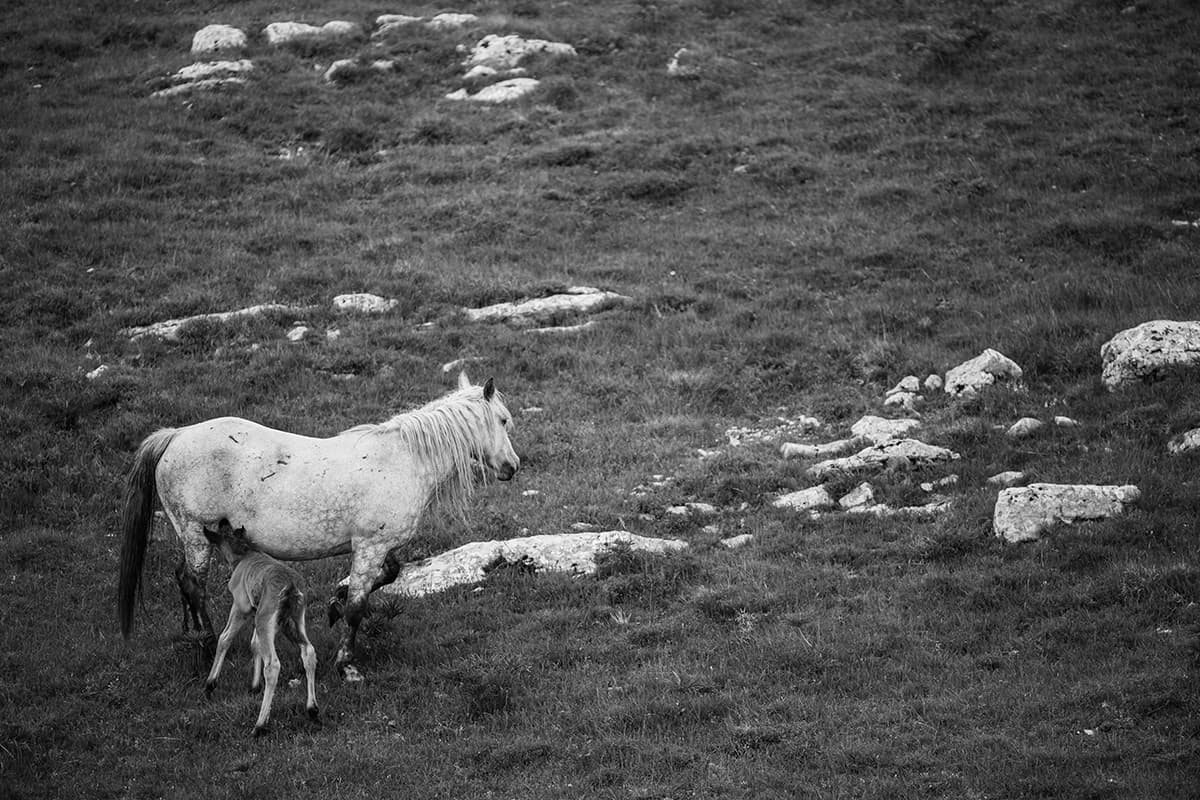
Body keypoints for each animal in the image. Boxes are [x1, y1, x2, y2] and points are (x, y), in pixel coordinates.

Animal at [117, 373, 519, 679]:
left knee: (182, 579)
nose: (512, 467)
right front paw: (346, 664)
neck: (402, 460)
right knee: (193, 584)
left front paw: (334, 603)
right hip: (196, 532)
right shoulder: (371, 546)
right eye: (502, 420)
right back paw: (208, 642)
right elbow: (359, 606)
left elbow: (386, 575)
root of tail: (175, 435)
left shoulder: (378, 547)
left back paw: (195, 636)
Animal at [202, 519, 318, 736]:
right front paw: (254, 686)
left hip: (266, 619)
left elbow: (225, 638)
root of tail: (291, 587)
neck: (242, 555)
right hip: (292, 621)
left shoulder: (242, 605)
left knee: (272, 664)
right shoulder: (256, 611)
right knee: (308, 651)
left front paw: (210, 684)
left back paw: (260, 725)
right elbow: (254, 643)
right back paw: (312, 709)